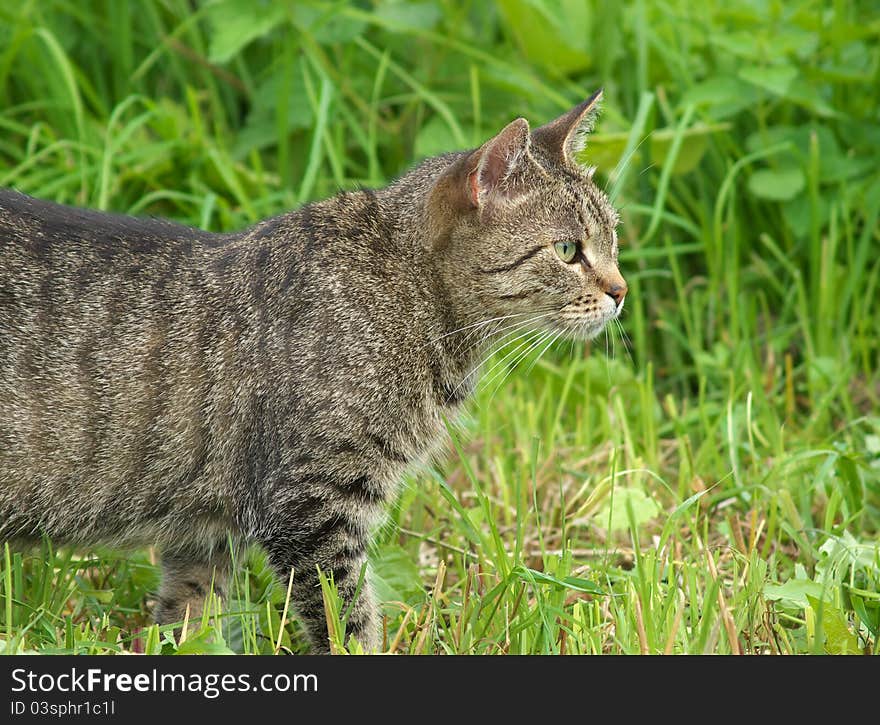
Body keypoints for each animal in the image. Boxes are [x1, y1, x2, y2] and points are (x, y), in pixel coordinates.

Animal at [0, 89, 624, 652]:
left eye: (613, 239)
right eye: (568, 250)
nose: (621, 291)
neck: (412, 301)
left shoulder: (207, 534)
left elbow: (191, 618)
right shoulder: (312, 509)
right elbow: (348, 620)